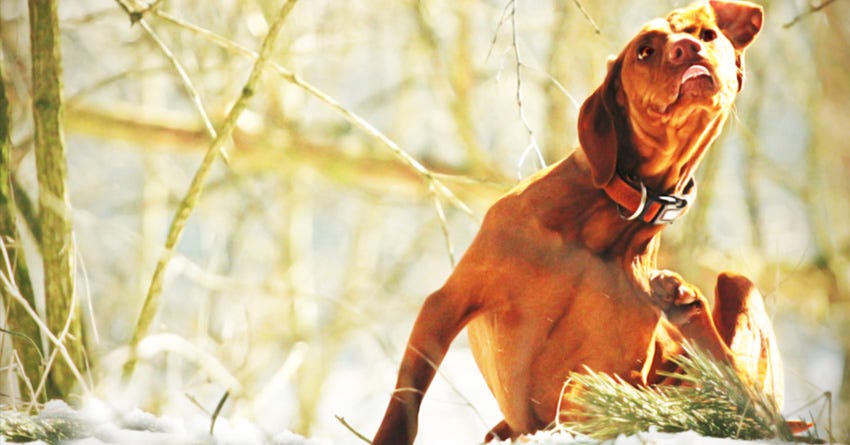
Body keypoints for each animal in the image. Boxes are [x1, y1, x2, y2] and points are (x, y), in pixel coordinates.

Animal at [372, 1, 776, 442]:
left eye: (707, 34)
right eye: (645, 51)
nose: (686, 49)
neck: (610, 223)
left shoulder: (618, 379)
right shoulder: (448, 302)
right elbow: (406, 397)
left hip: (738, 288)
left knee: (754, 403)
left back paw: (685, 302)